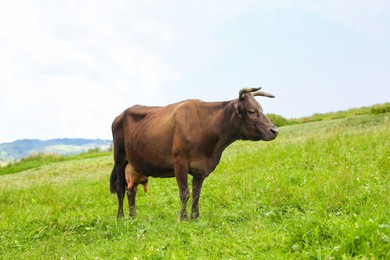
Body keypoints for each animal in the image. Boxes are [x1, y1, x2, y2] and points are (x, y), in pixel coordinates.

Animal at [109, 87, 278, 219]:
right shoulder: (179, 162)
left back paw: (133, 217)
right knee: (121, 190)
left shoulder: (200, 169)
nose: (274, 130)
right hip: (119, 159)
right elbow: (185, 193)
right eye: (251, 111)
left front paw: (195, 218)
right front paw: (183, 219)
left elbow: (197, 194)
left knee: (131, 191)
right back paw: (121, 217)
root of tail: (120, 115)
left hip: (134, 166)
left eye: (261, 109)